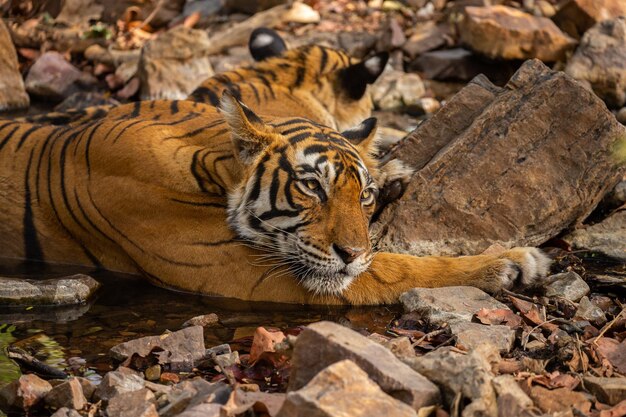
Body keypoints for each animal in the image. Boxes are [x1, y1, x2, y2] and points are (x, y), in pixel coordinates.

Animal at [0, 93, 544, 302]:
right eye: (311, 186)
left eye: (363, 196)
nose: (352, 254)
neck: (215, 162)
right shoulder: (244, 271)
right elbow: (398, 267)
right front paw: (511, 261)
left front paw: (392, 170)